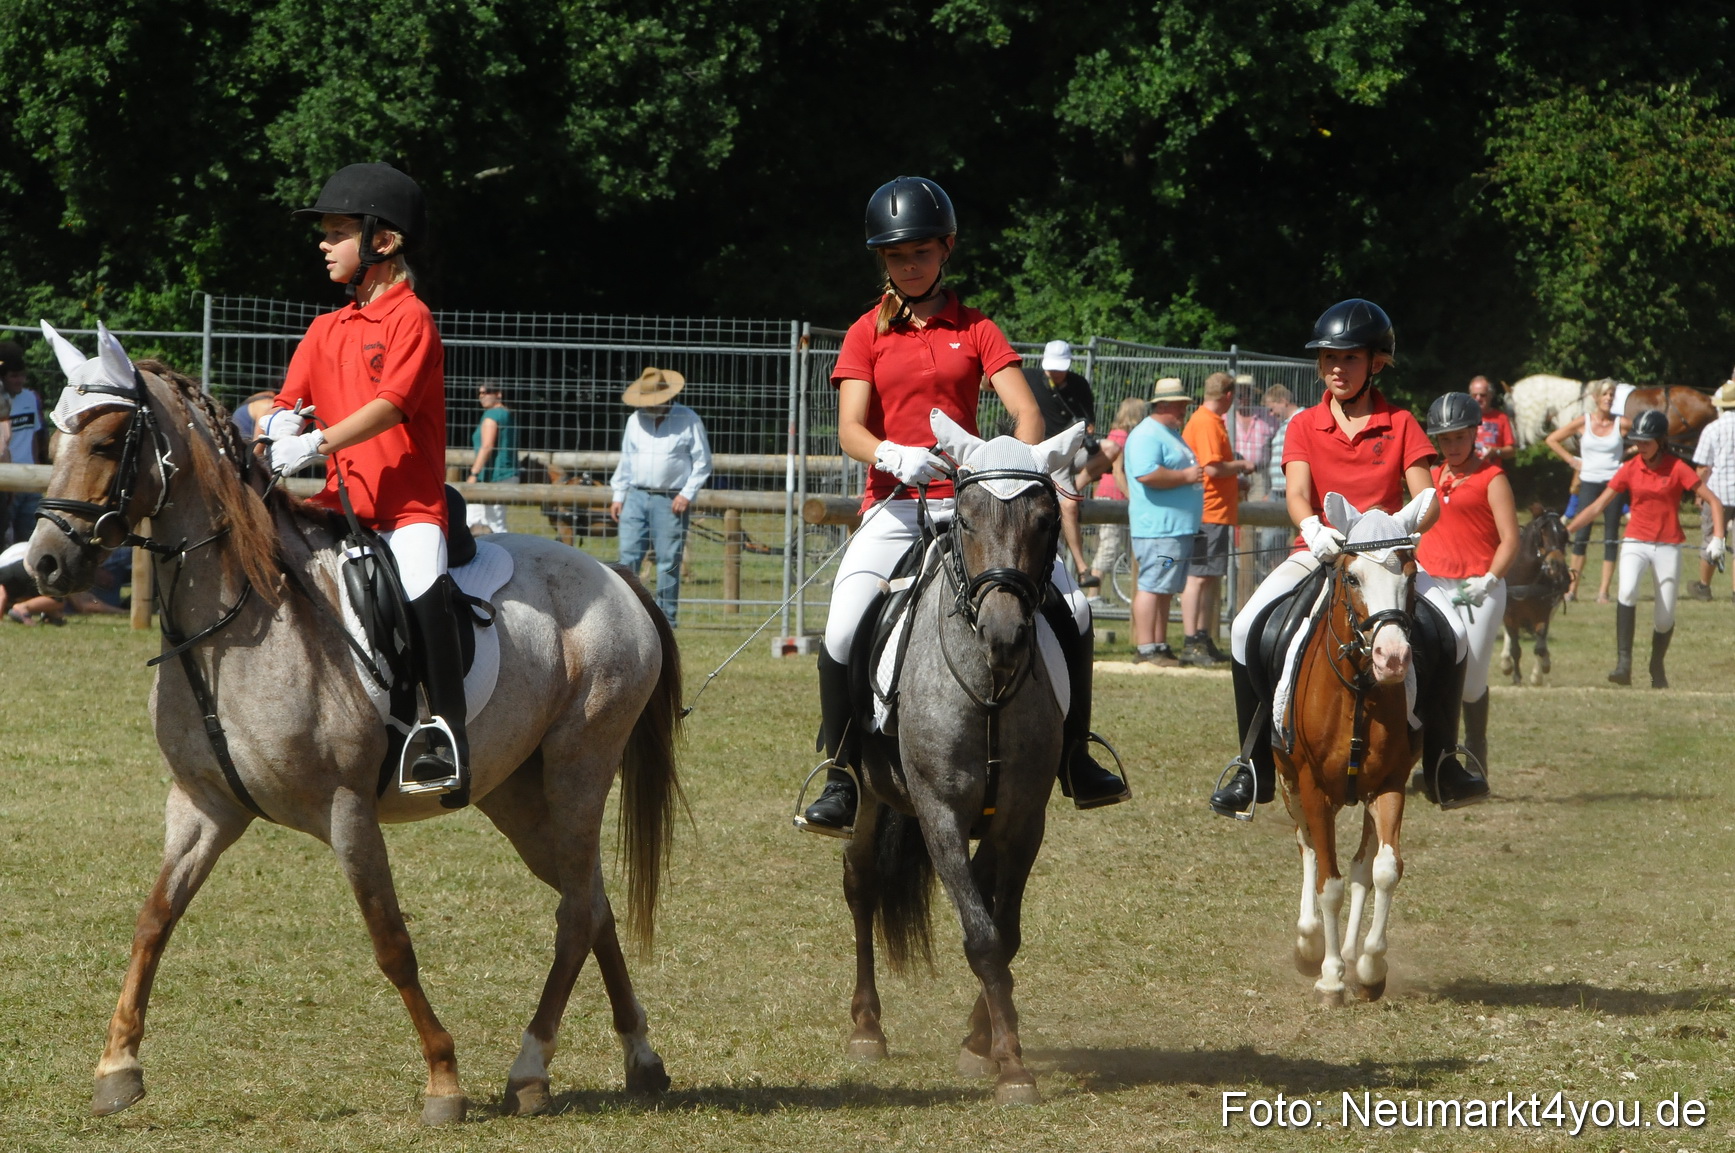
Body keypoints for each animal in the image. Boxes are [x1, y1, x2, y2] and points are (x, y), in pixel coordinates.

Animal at [26, 324, 683, 1125]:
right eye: (56, 435)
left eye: (106, 440)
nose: (43, 563)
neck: (240, 619)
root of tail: (616, 579)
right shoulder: (202, 807)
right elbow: (154, 919)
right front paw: (118, 1066)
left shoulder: (346, 812)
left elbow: (391, 941)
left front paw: (443, 1081)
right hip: (518, 796)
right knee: (590, 903)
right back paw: (638, 1059)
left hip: (580, 767)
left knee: (577, 913)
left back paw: (530, 1067)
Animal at [834, 411, 1083, 1105]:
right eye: (967, 519)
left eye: (1046, 520)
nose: (1004, 635)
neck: (990, 685)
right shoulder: (940, 813)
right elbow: (982, 934)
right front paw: (1012, 1064)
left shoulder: (1023, 818)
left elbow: (1006, 930)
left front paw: (985, 1045)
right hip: (871, 792)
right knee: (860, 878)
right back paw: (866, 1027)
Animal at [1275, 492, 1429, 1006]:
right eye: (1352, 576)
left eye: (1410, 574)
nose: (1393, 658)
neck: (1360, 690)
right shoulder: (1310, 786)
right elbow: (1329, 882)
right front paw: (1329, 976)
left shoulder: (1389, 785)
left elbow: (1383, 870)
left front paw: (1368, 965)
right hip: (1289, 782)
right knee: (1307, 847)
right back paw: (1309, 943)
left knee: (1362, 867)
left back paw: (1347, 949)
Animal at [1500, 511, 1571, 686]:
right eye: (1542, 534)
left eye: (1564, 535)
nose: (1556, 565)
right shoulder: (1509, 614)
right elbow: (1515, 648)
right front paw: (1516, 676)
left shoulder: (1543, 613)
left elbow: (1539, 646)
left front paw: (1540, 670)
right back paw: (1506, 662)